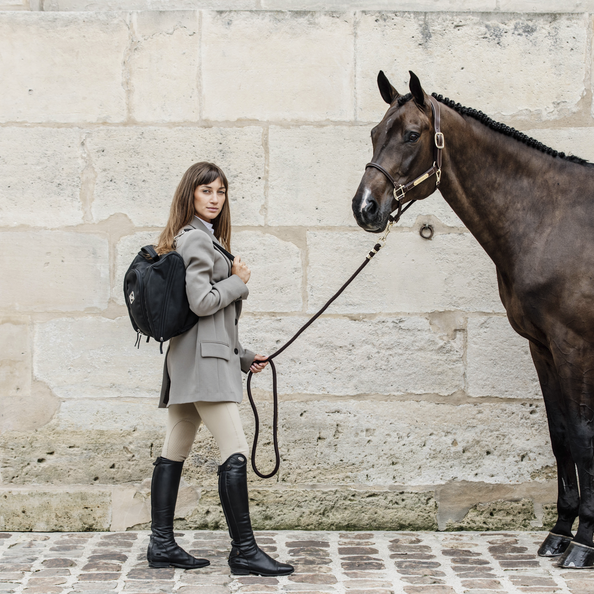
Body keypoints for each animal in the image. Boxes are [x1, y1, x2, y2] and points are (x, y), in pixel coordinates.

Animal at [352, 71, 592, 568]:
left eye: (412, 134)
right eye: (374, 133)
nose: (365, 207)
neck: (551, 220)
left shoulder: (574, 345)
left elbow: (583, 434)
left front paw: (584, 543)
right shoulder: (542, 345)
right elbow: (561, 434)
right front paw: (560, 533)